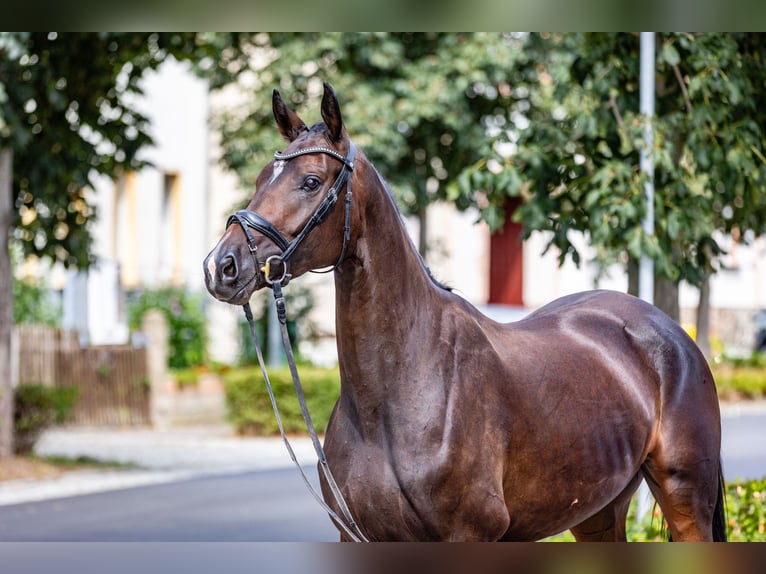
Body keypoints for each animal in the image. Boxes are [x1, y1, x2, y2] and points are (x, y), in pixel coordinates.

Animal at [202, 83, 728, 544]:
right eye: (259, 180)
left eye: (310, 181)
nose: (222, 266)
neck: (401, 390)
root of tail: (670, 334)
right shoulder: (357, 536)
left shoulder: (471, 533)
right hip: (599, 512)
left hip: (686, 500)